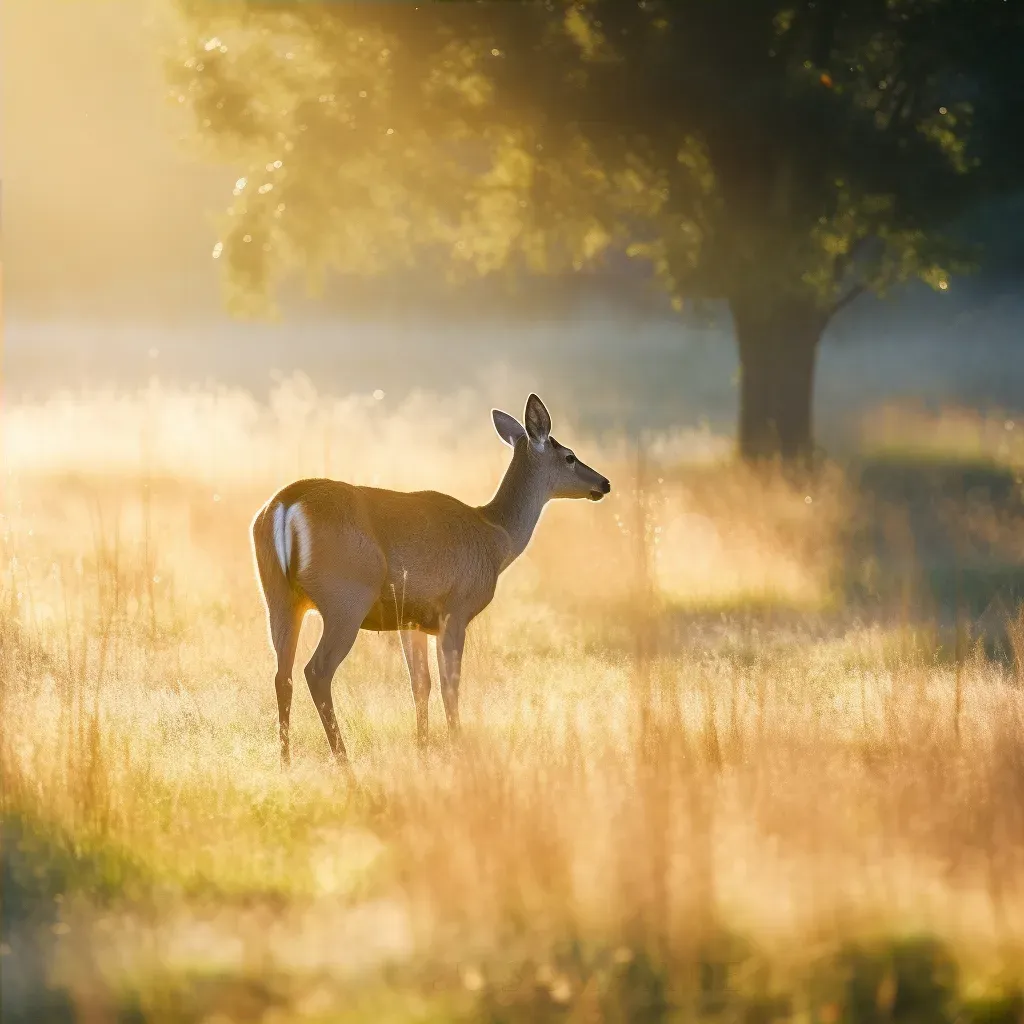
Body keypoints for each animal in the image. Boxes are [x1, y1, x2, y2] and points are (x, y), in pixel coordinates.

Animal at [250, 391, 610, 770]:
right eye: (569, 456)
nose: (604, 483)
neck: (495, 537)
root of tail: (286, 504)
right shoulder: (455, 610)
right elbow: (450, 685)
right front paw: (457, 746)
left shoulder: (410, 619)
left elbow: (420, 684)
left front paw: (422, 749)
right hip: (346, 599)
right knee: (316, 671)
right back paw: (344, 762)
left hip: (278, 597)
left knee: (282, 675)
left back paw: (285, 762)